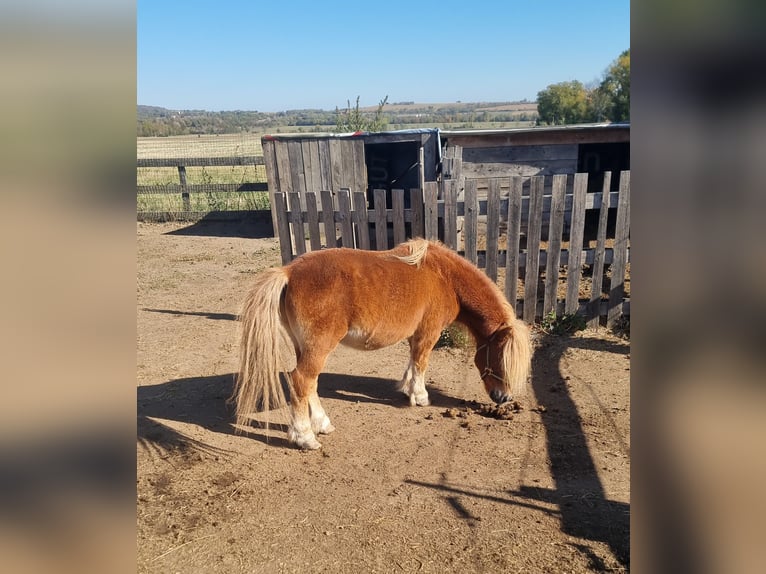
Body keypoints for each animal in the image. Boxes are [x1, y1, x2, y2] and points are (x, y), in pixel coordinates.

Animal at [233, 238, 532, 450]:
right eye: (499, 358)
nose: (504, 398)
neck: (443, 276)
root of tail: (289, 272)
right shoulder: (429, 333)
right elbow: (421, 363)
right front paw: (420, 397)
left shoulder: (415, 335)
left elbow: (412, 362)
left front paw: (406, 389)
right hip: (318, 348)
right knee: (301, 381)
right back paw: (305, 437)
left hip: (304, 348)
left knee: (310, 385)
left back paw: (322, 424)